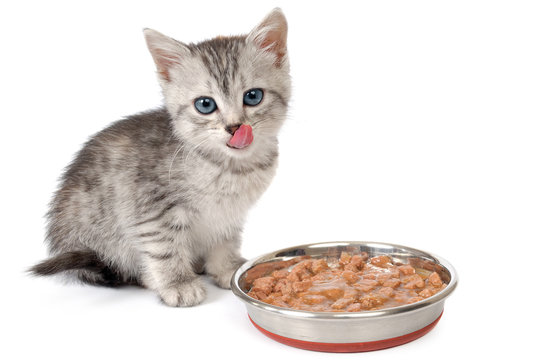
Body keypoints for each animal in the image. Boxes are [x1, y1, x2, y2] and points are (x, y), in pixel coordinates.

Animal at [30, 7, 288, 306]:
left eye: (253, 96)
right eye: (205, 104)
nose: (235, 127)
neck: (229, 167)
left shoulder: (229, 214)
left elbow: (225, 240)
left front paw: (226, 267)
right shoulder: (151, 208)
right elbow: (164, 247)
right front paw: (177, 282)